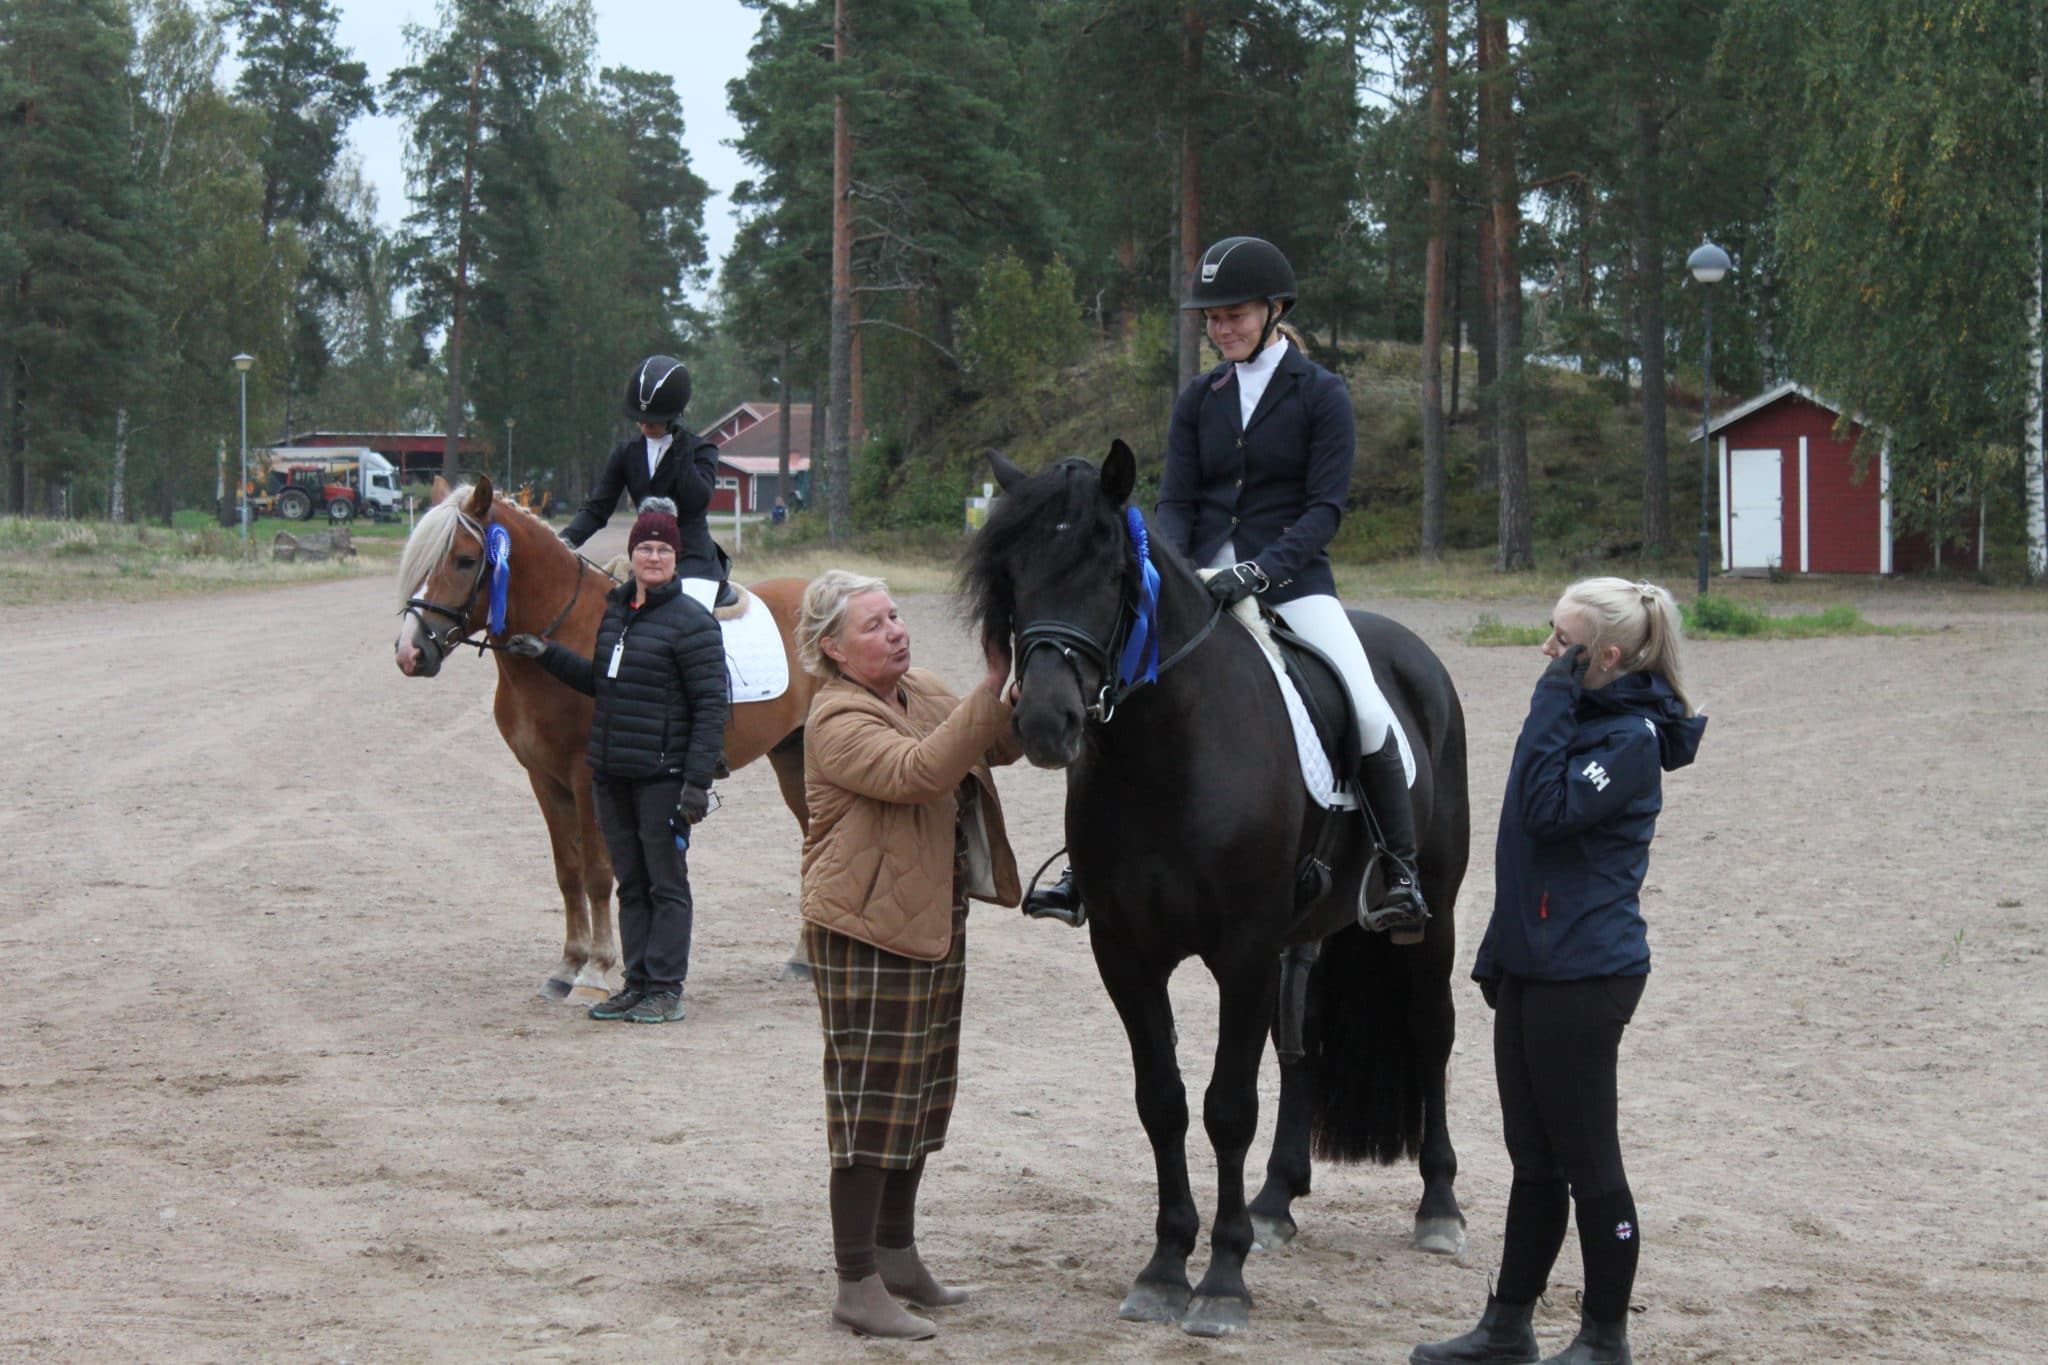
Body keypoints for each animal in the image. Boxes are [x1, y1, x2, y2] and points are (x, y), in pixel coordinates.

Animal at [391, 480, 815, 1002]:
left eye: (466, 560)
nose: (411, 653)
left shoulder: (587, 775)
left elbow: (597, 872)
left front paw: (594, 971)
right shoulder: (543, 778)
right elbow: (567, 870)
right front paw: (566, 966)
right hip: (790, 756)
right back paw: (802, 959)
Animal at [966, 446, 1466, 1334]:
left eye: (1108, 569)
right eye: (1014, 574)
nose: (1047, 724)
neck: (1168, 749)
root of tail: (1413, 653)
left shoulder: (1241, 948)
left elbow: (1228, 1104)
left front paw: (1223, 1280)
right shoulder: (1126, 952)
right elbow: (1162, 1100)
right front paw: (1167, 1266)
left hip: (1425, 918)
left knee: (1432, 1032)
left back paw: (1438, 1208)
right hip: (1303, 932)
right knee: (1303, 1042)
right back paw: (1275, 1200)